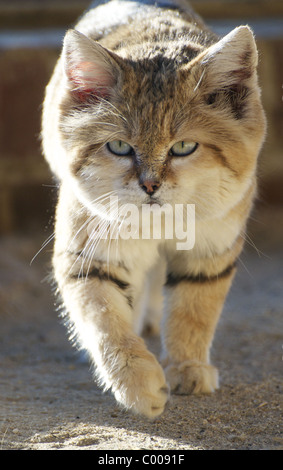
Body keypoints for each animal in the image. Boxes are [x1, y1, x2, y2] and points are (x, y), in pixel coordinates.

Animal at [41, 0, 266, 418]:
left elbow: (194, 312)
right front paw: (137, 384)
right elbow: (105, 320)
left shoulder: (211, 248)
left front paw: (188, 367)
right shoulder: (89, 255)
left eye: (183, 147)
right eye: (119, 147)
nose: (149, 185)